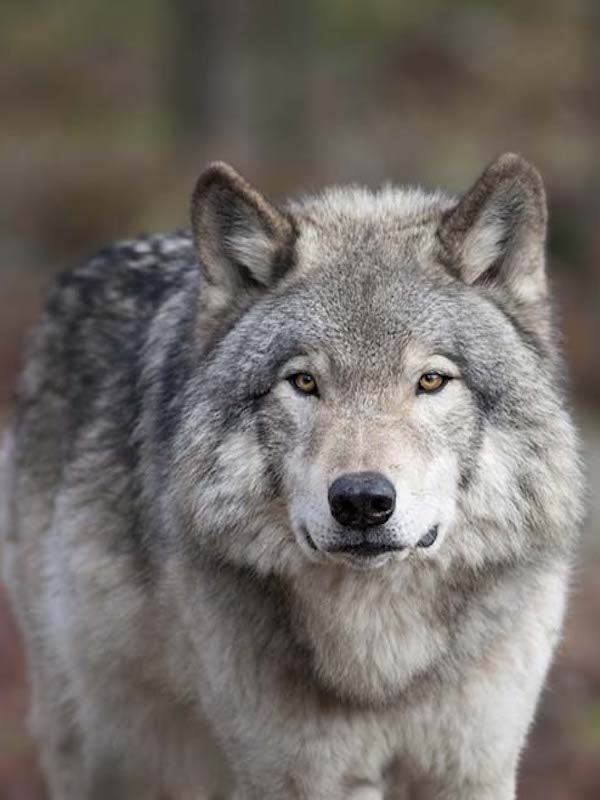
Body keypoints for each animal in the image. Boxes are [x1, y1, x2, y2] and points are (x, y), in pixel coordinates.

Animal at [0, 153, 583, 799]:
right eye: (304, 382)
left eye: (431, 380)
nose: (361, 500)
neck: (377, 663)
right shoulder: (295, 776)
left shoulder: (472, 768)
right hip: (113, 751)